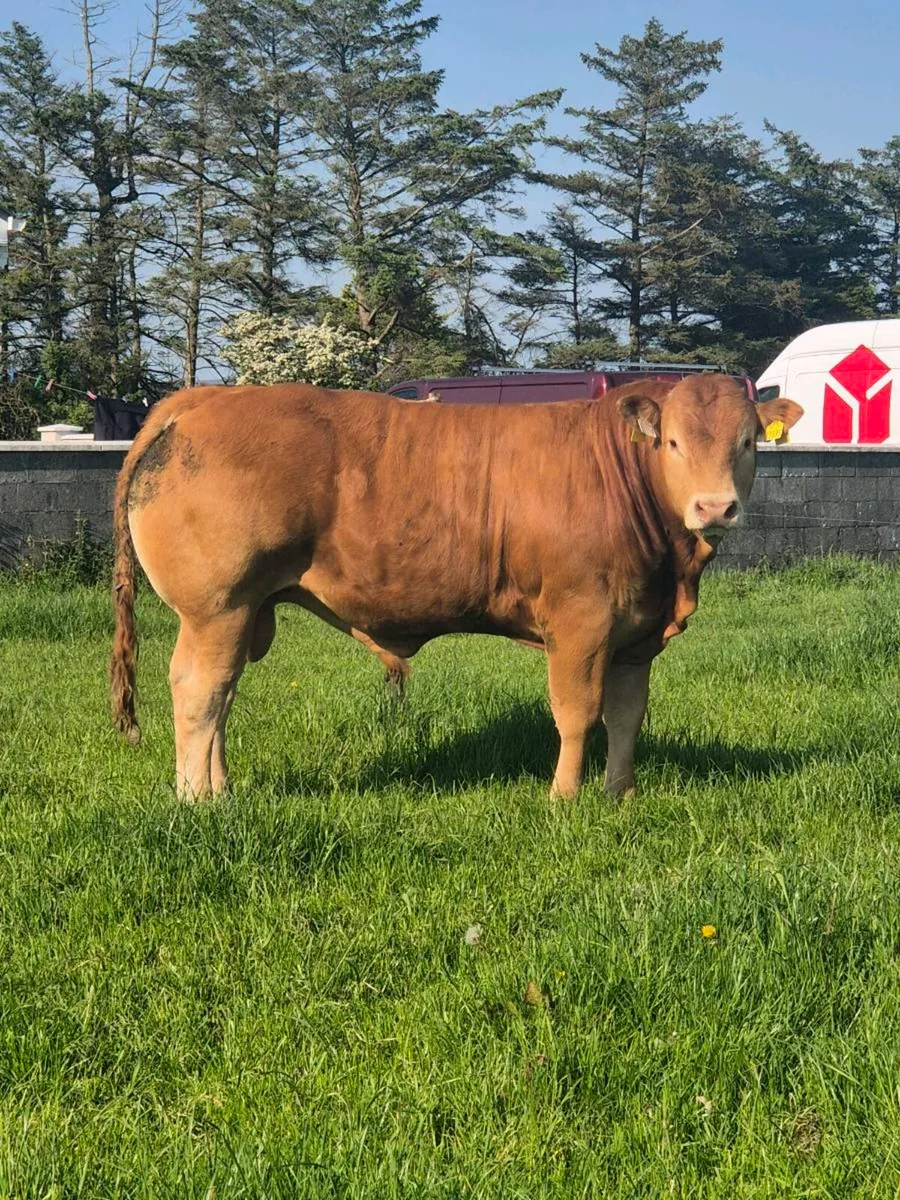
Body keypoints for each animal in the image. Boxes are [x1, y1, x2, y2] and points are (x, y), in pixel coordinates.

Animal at [110, 376, 802, 801]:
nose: (714, 507)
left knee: (222, 696)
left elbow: (627, 714)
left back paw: (220, 787)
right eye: (675, 442)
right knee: (200, 692)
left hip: (242, 612)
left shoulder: (636, 632)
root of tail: (201, 399)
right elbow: (577, 712)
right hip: (217, 607)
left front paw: (619, 792)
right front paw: (564, 796)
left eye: (747, 442)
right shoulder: (580, 620)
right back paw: (199, 797)